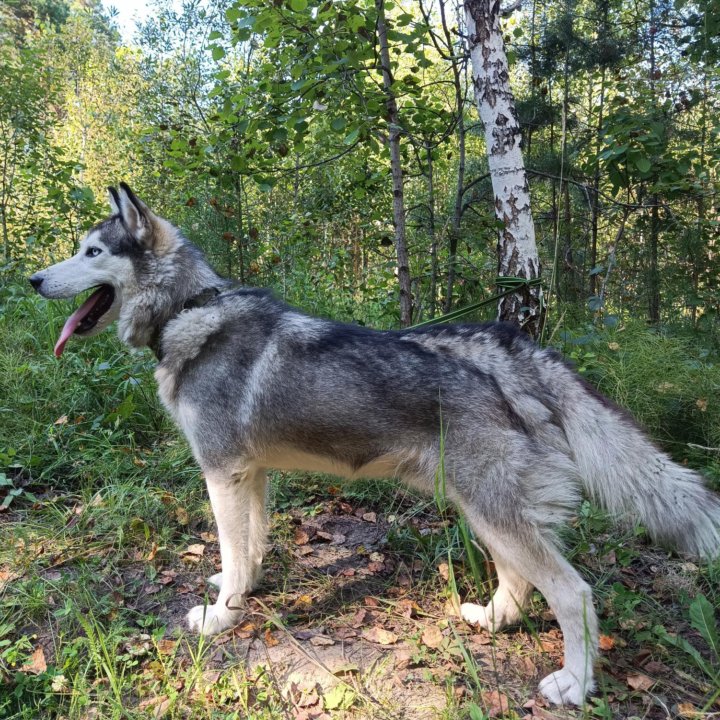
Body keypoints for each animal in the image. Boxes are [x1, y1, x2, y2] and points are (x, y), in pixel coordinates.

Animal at [29, 184, 720, 704]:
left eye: (92, 251)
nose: (34, 279)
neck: (186, 311)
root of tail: (512, 349)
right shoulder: (250, 476)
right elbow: (248, 551)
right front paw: (243, 592)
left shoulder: (222, 473)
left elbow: (232, 552)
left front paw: (222, 616)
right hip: (483, 513)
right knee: (520, 583)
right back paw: (492, 620)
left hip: (492, 511)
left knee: (571, 593)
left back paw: (574, 684)